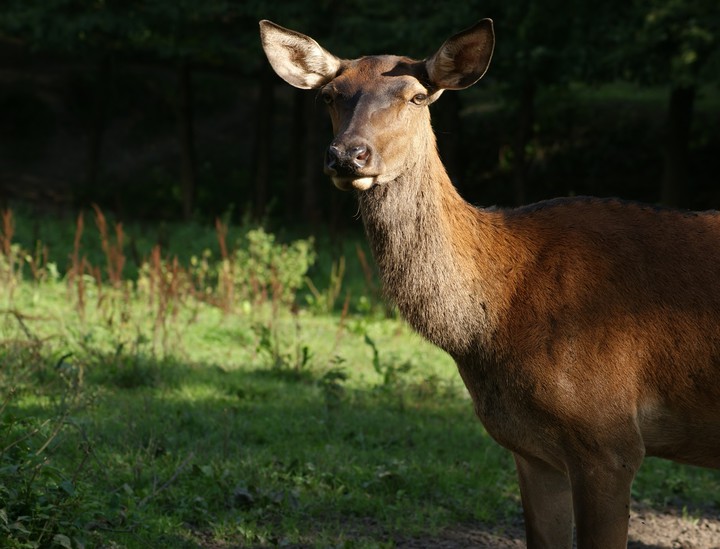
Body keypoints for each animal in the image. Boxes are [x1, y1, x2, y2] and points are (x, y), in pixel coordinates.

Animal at [262, 18, 720, 548]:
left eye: (417, 96)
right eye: (330, 95)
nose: (347, 155)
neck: (499, 319)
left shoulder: (610, 438)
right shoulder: (531, 450)